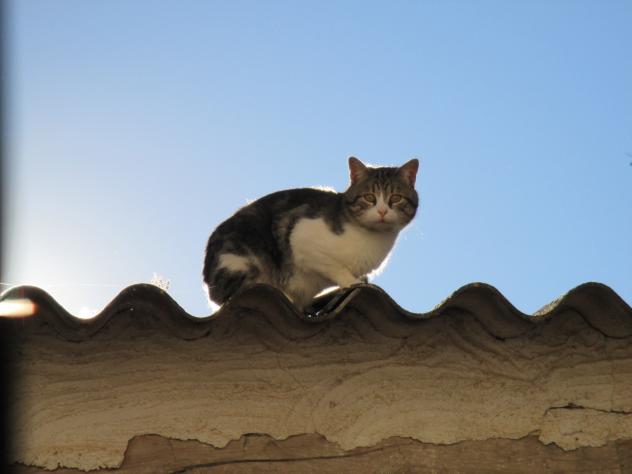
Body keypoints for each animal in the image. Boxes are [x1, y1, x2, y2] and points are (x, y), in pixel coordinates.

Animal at [203, 157, 419, 312]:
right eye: (369, 197)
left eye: (396, 198)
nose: (382, 212)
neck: (373, 238)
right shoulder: (300, 235)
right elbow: (336, 268)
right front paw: (353, 282)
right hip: (243, 261)